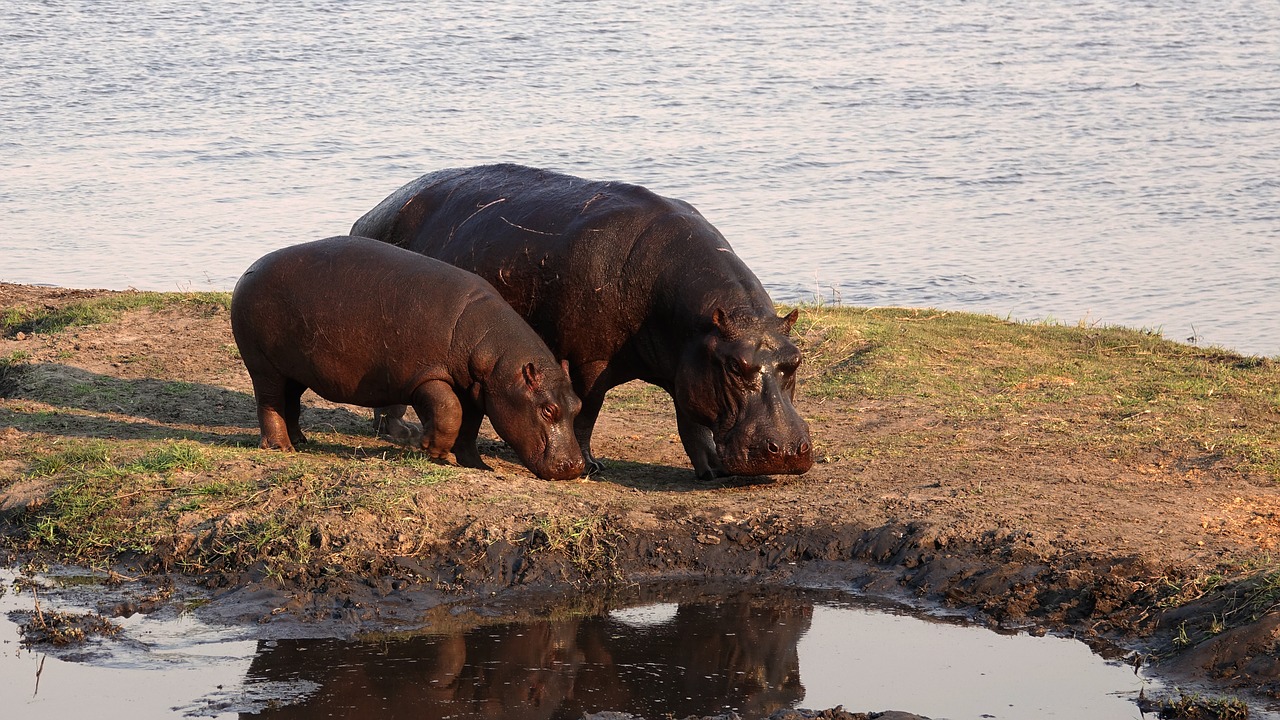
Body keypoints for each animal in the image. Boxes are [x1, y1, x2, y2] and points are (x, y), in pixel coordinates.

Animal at [229, 235, 586, 479]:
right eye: (548, 410)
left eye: (578, 405)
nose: (576, 466)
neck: (494, 358)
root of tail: (248, 270)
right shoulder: (426, 376)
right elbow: (449, 411)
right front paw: (431, 449)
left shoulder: (476, 390)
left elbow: (469, 426)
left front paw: (476, 465)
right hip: (263, 366)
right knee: (269, 403)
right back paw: (281, 447)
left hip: (295, 370)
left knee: (290, 401)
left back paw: (301, 440)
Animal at [350, 162, 808, 476]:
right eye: (736, 365)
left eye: (795, 360)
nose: (786, 451)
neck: (699, 325)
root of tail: (369, 214)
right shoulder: (593, 359)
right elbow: (589, 410)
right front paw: (590, 465)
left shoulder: (688, 365)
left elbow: (690, 418)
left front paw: (710, 469)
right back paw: (397, 431)